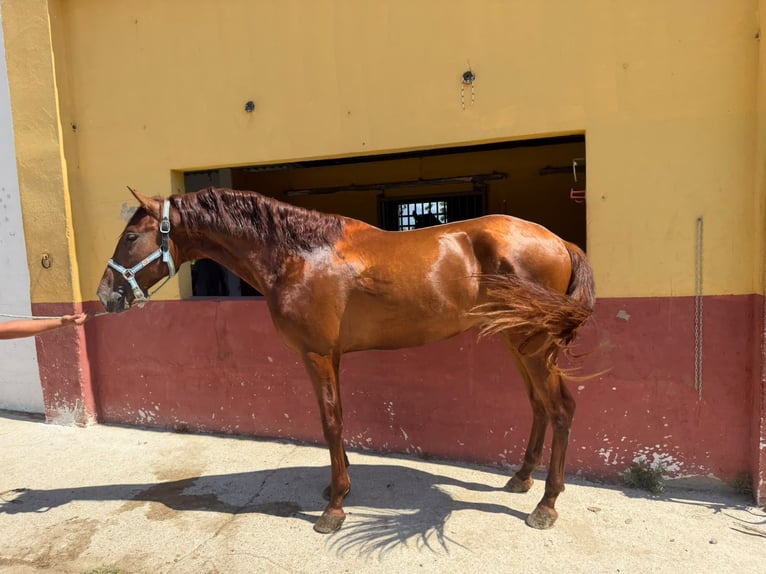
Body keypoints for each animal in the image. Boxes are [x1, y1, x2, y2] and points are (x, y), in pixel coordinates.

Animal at [97, 186, 595, 534]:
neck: (298, 255)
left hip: (533, 344)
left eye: (130, 235)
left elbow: (331, 422)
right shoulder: (331, 356)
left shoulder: (317, 355)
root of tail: (559, 241)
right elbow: (337, 419)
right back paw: (521, 479)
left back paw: (546, 505)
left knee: (562, 408)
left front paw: (334, 507)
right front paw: (339, 485)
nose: (106, 295)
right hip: (516, 341)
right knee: (538, 405)